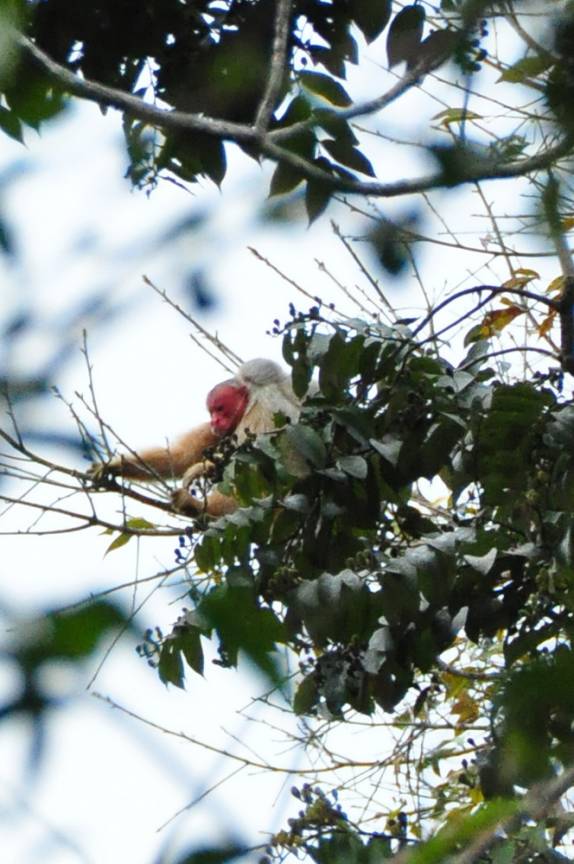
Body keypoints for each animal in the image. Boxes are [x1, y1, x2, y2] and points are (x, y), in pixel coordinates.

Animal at [91, 358, 302, 517]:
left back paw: (199, 508)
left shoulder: (263, 412)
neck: (251, 401)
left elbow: (254, 465)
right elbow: (180, 457)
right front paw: (116, 465)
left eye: (220, 408)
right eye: (212, 412)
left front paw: (202, 473)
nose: (214, 421)